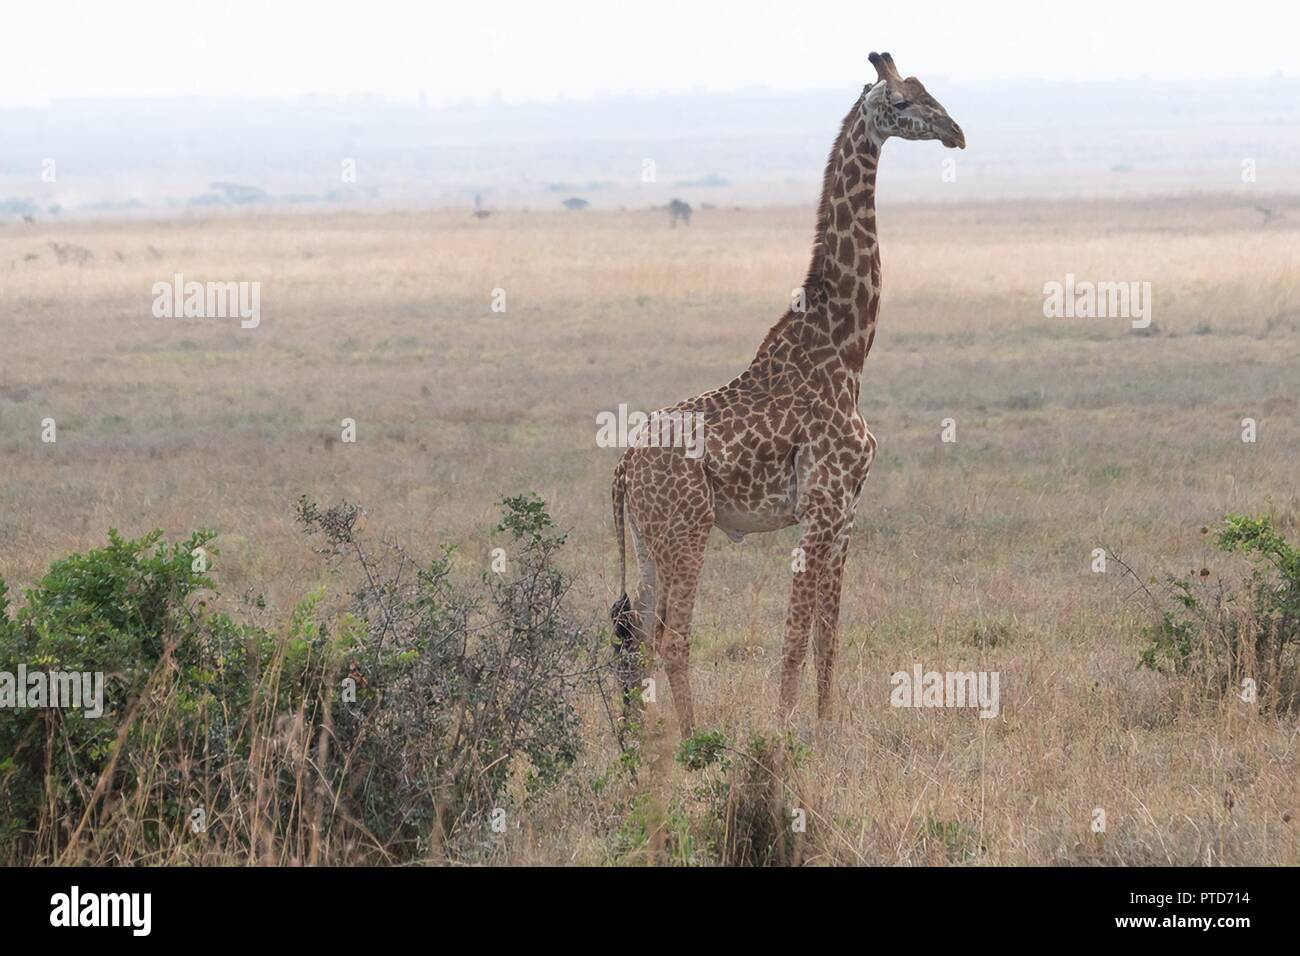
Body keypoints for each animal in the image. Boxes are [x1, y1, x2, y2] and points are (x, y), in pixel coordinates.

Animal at [611, 52, 967, 738]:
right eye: (902, 103)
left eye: (929, 89)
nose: (956, 133)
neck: (848, 352)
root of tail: (622, 466)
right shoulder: (821, 505)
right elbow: (796, 635)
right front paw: (780, 731)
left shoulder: (847, 511)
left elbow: (830, 634)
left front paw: (828, 731)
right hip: (687, 529)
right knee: (672, 636)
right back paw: (691, 738)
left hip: (645, 539)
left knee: (636, 635)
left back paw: (639, 741)